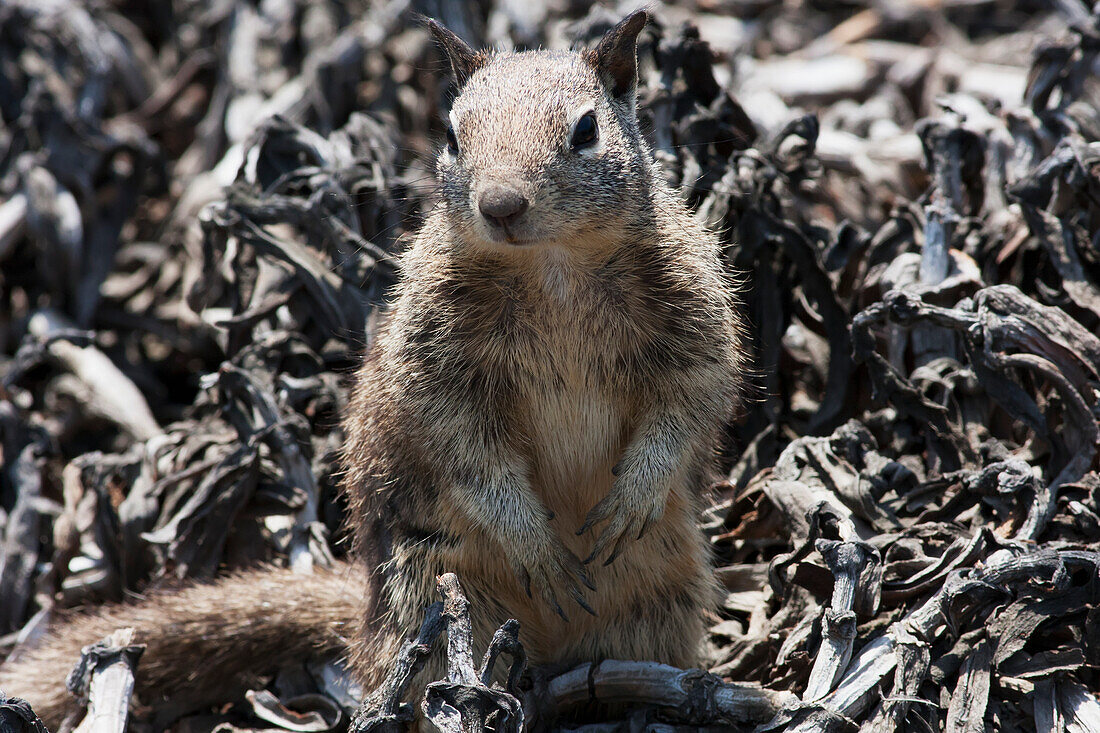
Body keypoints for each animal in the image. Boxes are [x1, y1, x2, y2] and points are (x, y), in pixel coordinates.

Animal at [0, 9, 743, 726]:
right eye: (453, 135)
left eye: (586, 130)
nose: (501, 204)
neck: (551, 265)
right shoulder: (433, 360)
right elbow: (462, 445)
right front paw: (533, 542)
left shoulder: (697, 319)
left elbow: (691, 400)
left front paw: (634, 494)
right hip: (432, 600)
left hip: (663, 601)